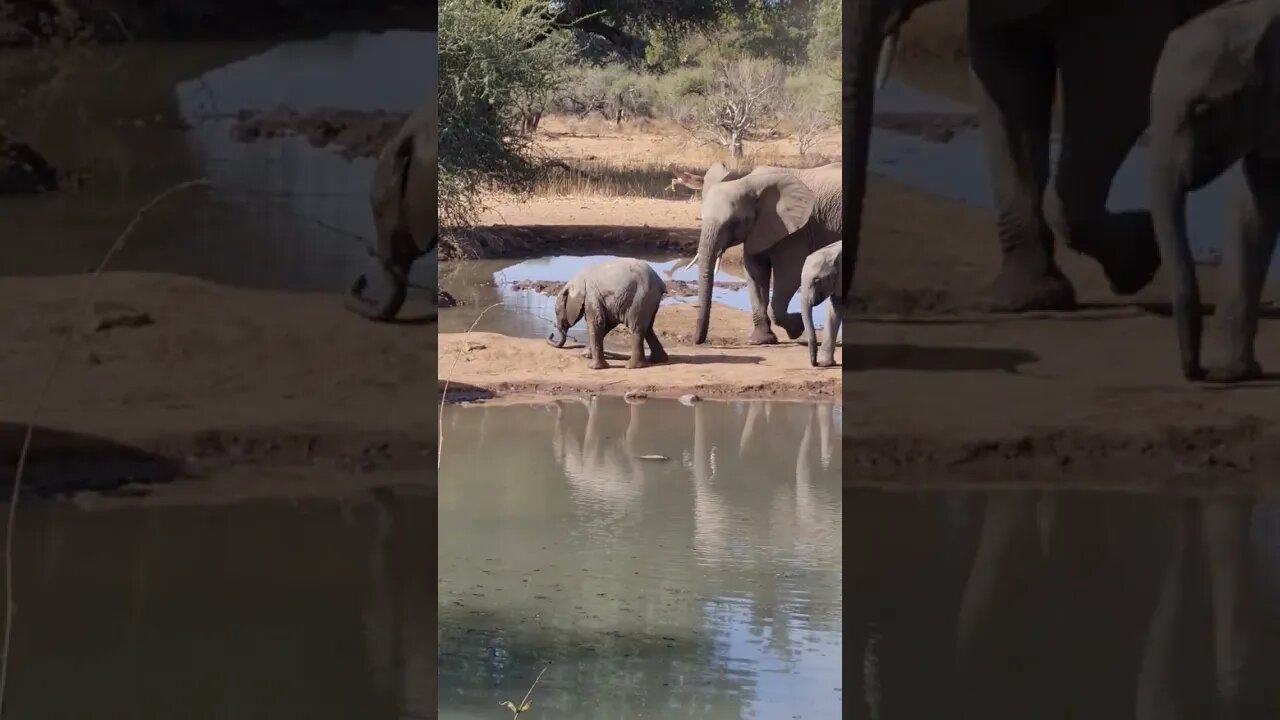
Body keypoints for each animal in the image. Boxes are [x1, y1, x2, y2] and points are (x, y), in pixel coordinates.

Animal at [691, 162, 839, 345]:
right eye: (701, 217)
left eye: (735, 222)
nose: (697, 341)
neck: (749, 182)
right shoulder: (759, 229)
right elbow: (755, 273)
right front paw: (761, 340)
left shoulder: (796, 231)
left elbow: (790, 274)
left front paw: (797, 328)